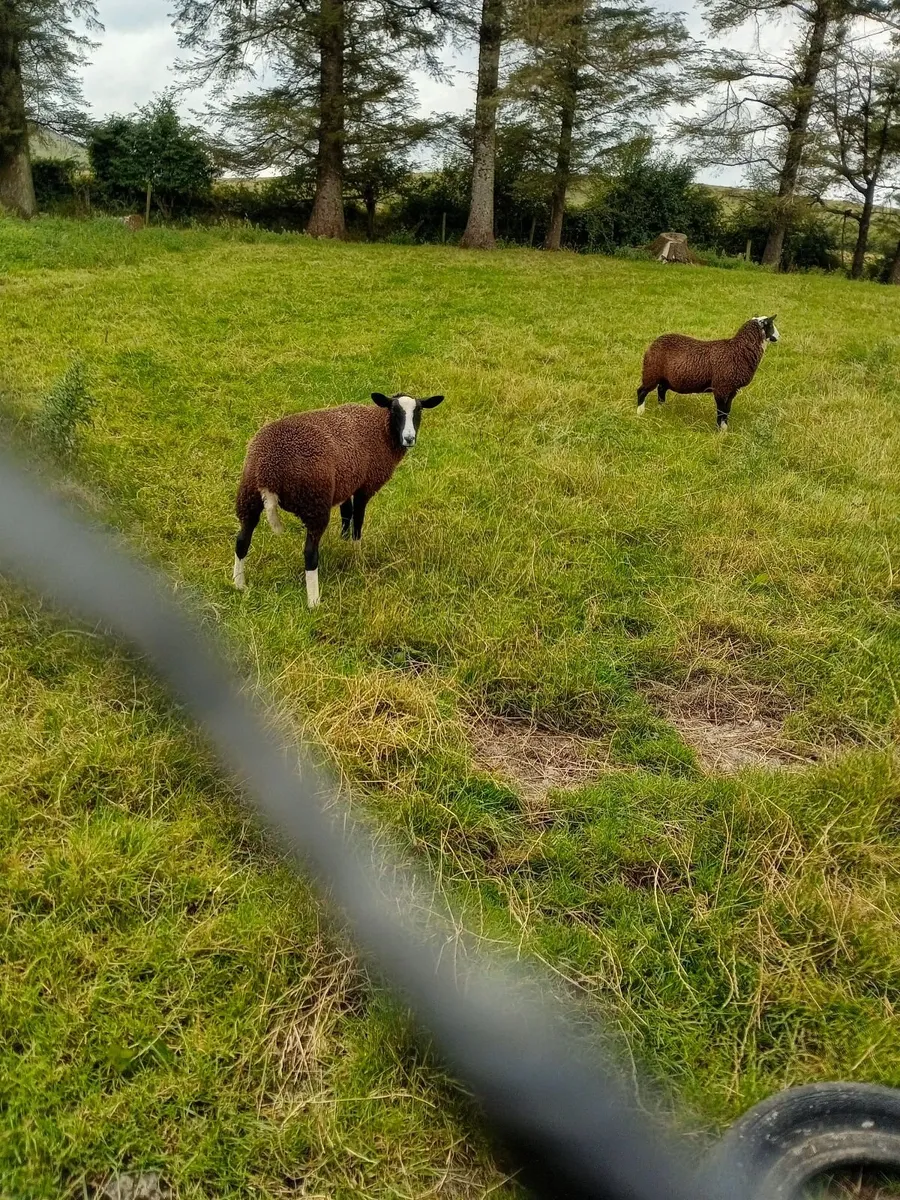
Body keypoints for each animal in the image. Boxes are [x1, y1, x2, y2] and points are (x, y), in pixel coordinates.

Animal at [233, 391, 444, 607]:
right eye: (394, 411)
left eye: (419, 410)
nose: (409, 438)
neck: (379, 428)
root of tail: (268, 474)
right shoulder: (364, 486)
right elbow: (357, 521)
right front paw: (357, 556)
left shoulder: (346, 481)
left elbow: (346, 513)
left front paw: (342, 541)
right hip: (315, 502)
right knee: (310, 553)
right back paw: (314, 602)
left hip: (249, 496)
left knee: (241, 541)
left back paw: (239, 585)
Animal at [636, 315, 779, 431]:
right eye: (771, 325)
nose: (778, 337)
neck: (739, 350)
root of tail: (654, 343)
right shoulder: (721, 387)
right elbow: (721, 411)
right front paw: (719, 430)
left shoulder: (732, 389)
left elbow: (727, 410)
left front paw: (725, 429)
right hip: (651, 372)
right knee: (642, 391)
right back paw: (640, 413)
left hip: (665, 378)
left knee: (661, 390)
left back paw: (662, 409)